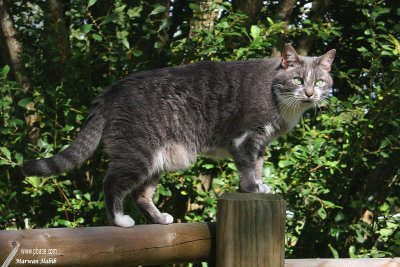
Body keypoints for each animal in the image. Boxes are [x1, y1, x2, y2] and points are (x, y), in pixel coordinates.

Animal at [21, 44, 334, 228]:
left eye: (320, 81)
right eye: (297, 79)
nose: (310, 93)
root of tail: (110, 91)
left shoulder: (261, 143)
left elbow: (257, 166)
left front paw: (262, 185)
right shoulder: (246, 138)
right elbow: (247, 168)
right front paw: (252, 189)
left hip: (160, 157)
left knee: (142, 194)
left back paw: (160, 219)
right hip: (138, 151)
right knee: (112, 183)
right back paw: (120, 221)